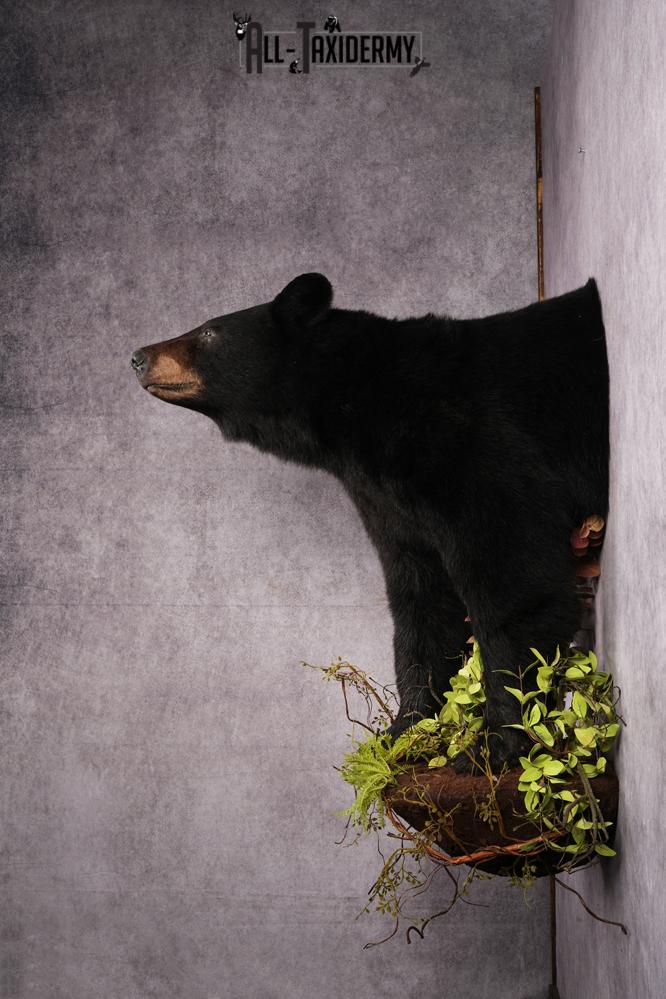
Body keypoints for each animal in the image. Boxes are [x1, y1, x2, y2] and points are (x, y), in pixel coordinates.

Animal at [131, 273, 608, 769]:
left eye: (210, 331)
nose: (138, 357)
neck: (358, 405)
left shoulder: (470, 446)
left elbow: (515, 580)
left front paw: (499, 743)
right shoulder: (388, 500)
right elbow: (420, 596)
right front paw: (404, 731)